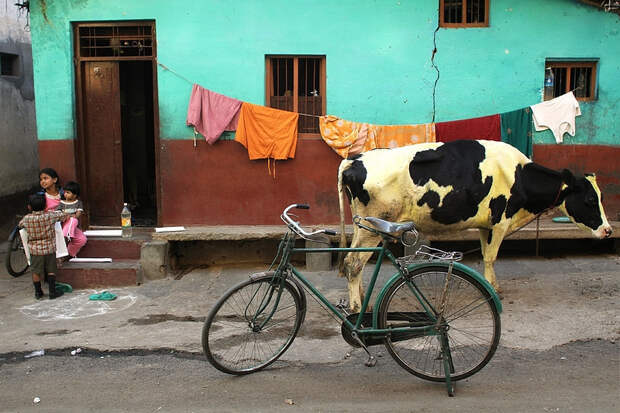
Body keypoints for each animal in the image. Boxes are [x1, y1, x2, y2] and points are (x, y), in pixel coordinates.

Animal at [336, 140, 612, 310]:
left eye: (600, 196)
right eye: (590, 199)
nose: (608, 230)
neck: (519, 174)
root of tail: (354, 159)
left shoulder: (485, 225)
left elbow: (485, 254)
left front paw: (493, 285)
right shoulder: (501, 220)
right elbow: (490, 257)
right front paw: (493, 290)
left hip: (365, 227)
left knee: (354, 259)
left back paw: (362, 297)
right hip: (374, 225)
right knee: (353, 262)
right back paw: (357, 306)